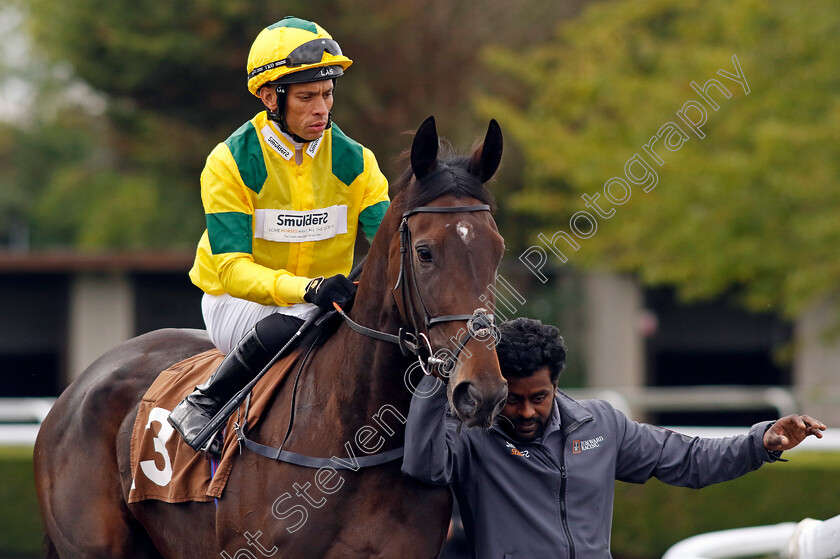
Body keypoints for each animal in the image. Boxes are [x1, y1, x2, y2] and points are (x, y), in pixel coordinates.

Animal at [32, 116, 508, 556]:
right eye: (425, 252)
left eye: (498, 249)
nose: (481, 389)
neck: (356, 437)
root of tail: (78, 387)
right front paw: (326, 289)